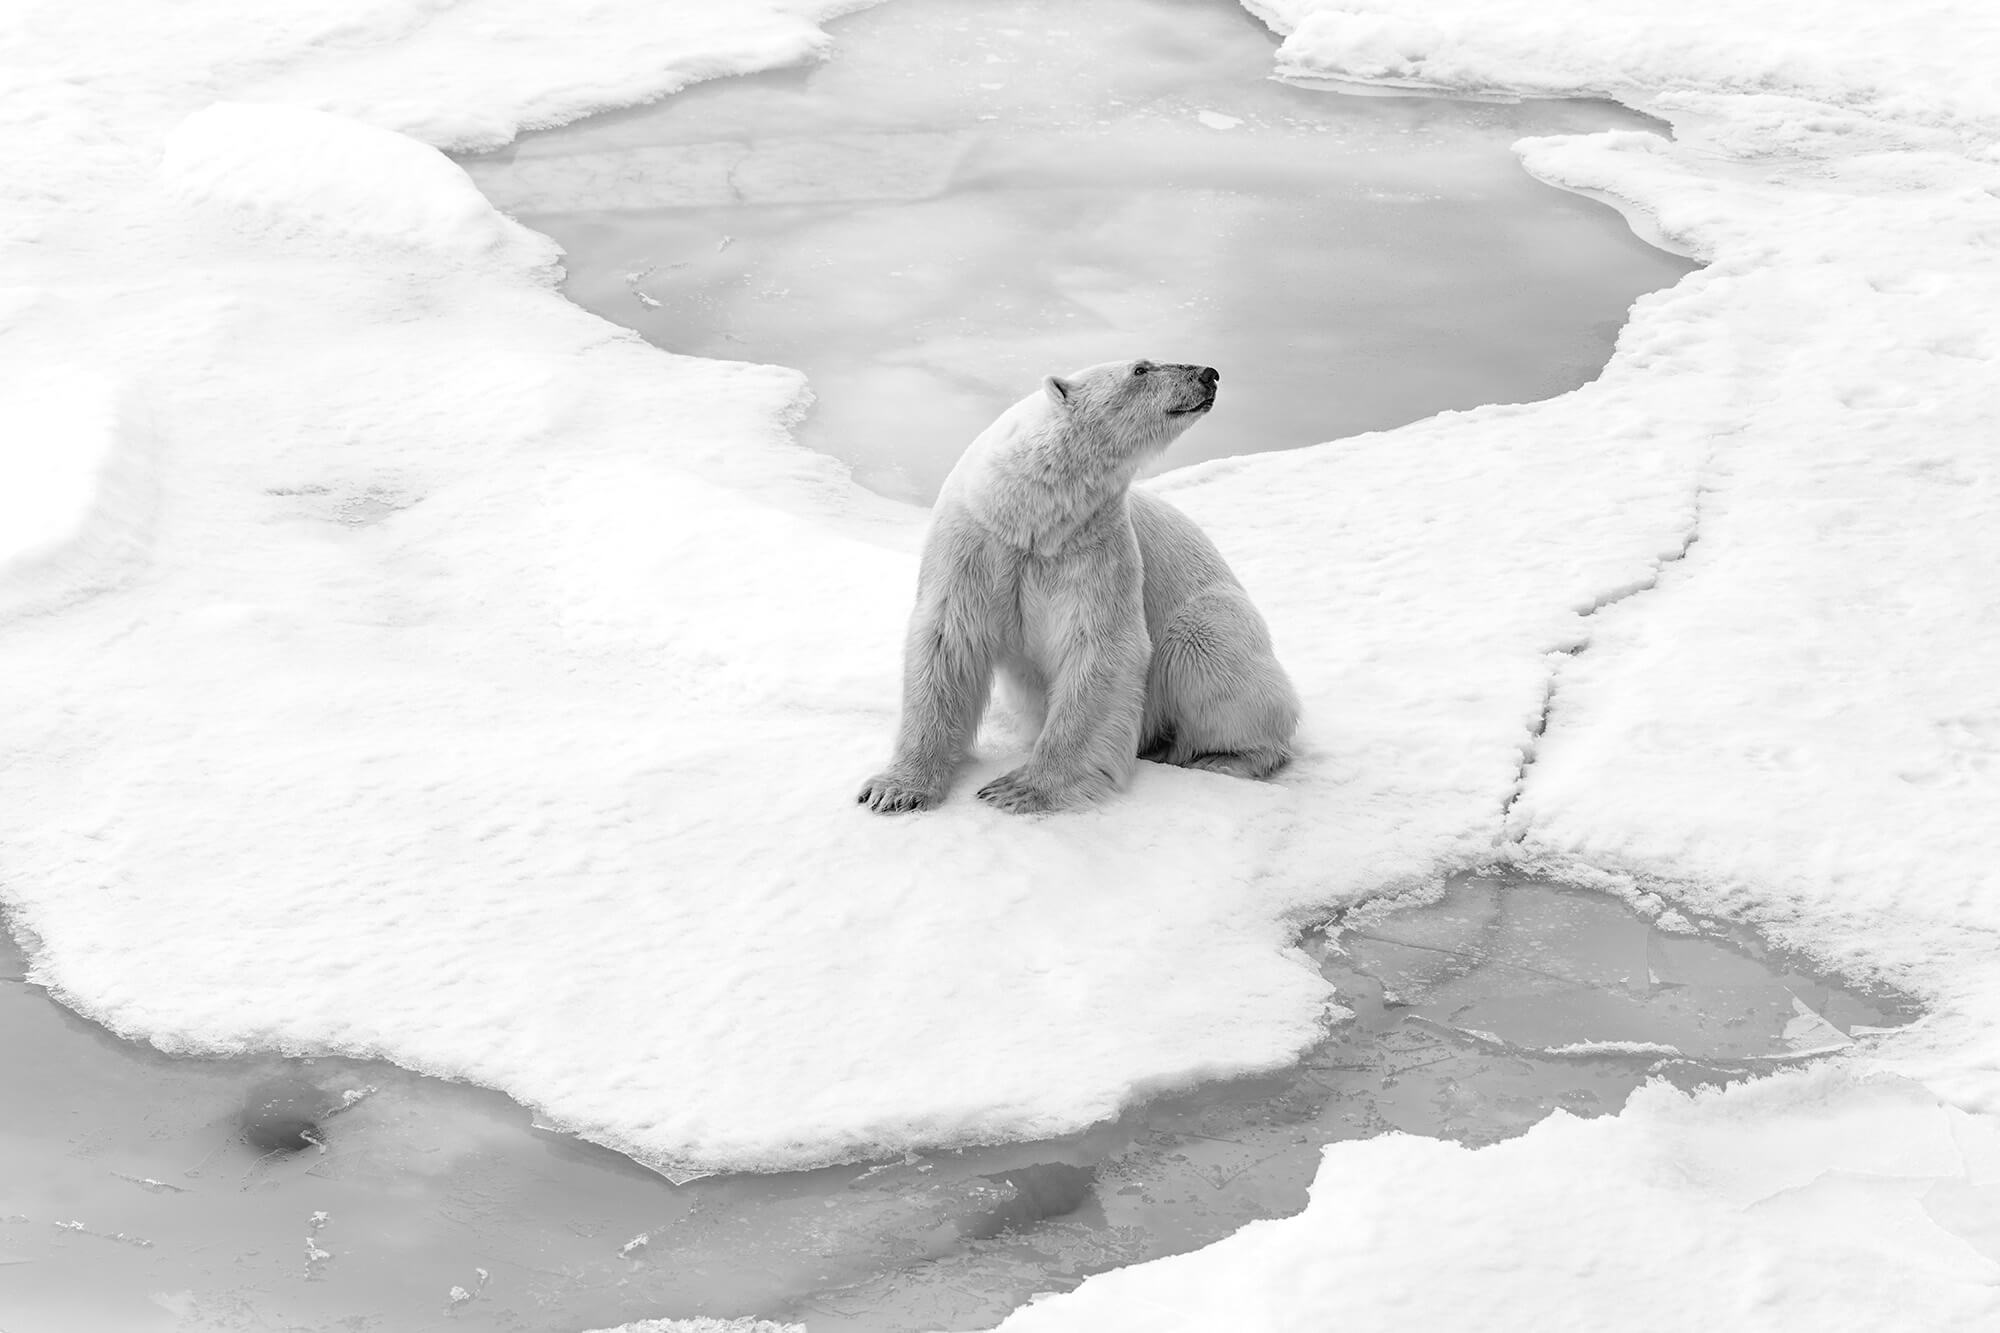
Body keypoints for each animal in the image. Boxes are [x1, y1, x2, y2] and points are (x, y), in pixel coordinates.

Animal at [857, 358, 1300, 814]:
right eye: (1140, 368)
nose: (1208, 374)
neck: (1031, 515)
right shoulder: (975, 541)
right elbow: (948, 639)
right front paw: (893, 789)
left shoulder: (1095, 546)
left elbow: (1100, 647)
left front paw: (1017, 789)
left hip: (1214, 617)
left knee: (1205, 654)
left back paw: (1219, 757)